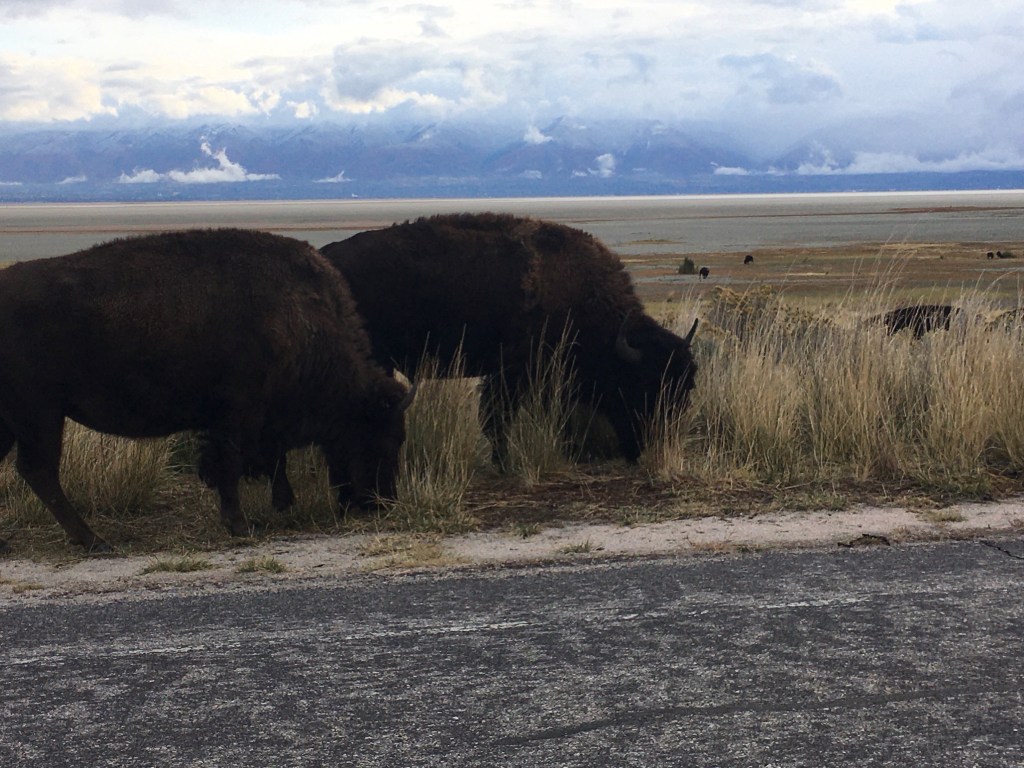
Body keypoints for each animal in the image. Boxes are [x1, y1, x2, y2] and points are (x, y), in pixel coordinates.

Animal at [0, 229, 411, 552]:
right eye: (378, 435)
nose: (382, 502)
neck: (300, 317)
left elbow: (264, 461)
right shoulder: (236, 416)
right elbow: (229, 465)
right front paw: (240, 525)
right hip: (41, 414)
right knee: (39, 470)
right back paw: (94, 541)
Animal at [320, 212, 698, 464]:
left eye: (686, 388)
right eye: (643, 385)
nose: (653, 444)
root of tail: (327, 257)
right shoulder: (513, 374)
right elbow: (498, 418)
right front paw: (503, 461)